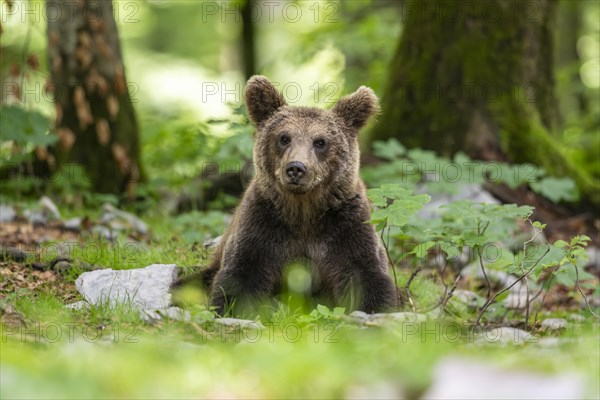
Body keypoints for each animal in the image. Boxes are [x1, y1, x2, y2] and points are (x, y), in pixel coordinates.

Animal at [188, 76, 396, 318]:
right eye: (284, 137)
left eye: (320, 141)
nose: (296, 168)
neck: (303, 210)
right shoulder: (262, 223)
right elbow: (241, 274)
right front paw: (232, 309)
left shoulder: (346, 226)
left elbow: (365, 274)